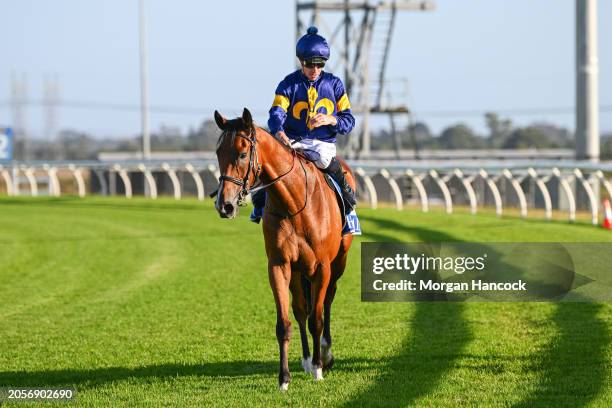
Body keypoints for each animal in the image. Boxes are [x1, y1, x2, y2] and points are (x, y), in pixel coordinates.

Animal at [214, 107, 354, 388]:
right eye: (218, 153)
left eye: (242, 153)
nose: (225, 205)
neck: (296, 202)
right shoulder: (280, 264)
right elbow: (285, 322)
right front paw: (285, 377)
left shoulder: (322, 266)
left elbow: (317, 319)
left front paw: (319, 367)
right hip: (299, 270)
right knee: (300, 309)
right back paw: (307, 360)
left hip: (338, 263)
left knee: (328, 300)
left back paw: (324, 354)